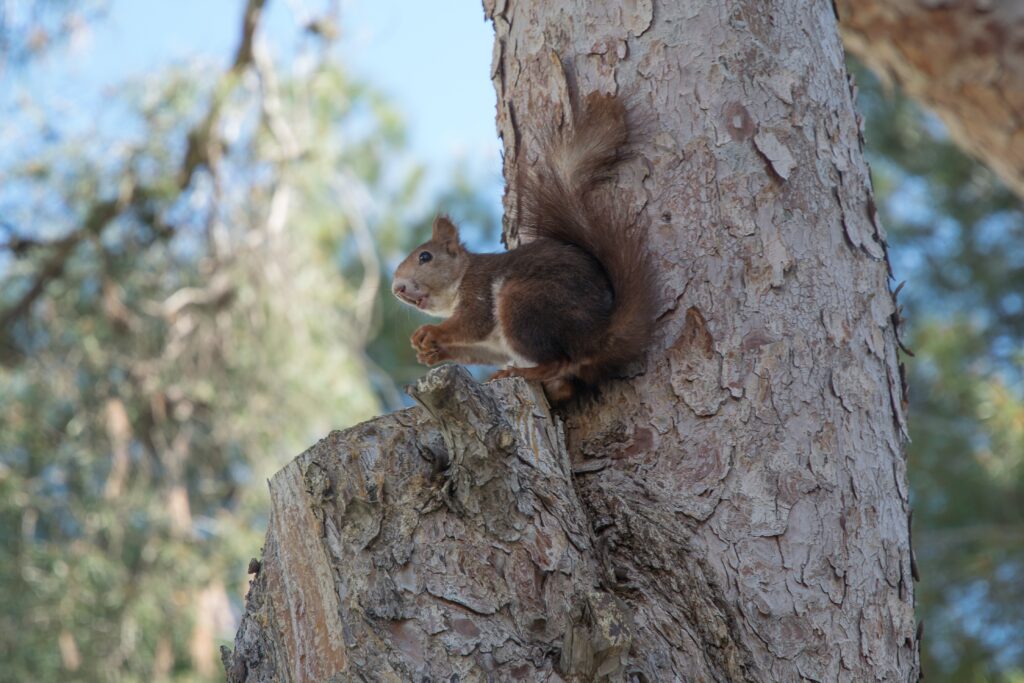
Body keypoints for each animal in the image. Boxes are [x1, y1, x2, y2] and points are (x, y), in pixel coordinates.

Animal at [391, 92, 657, 403]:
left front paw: (430, 332)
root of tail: (597, 335)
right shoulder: (493, 345)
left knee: (558, 361)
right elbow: (479, 349)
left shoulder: (479, 290)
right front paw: (431, 353)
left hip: (522, 304)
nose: (396, 288)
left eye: (425, 257)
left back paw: (519, 372)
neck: (460, 278)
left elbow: (470, 323)